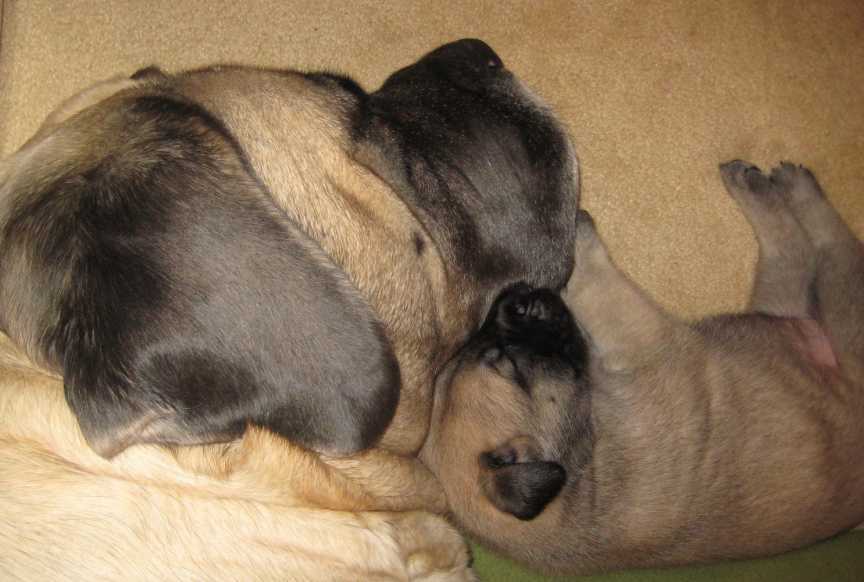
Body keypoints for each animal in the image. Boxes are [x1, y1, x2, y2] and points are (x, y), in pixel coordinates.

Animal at [422, 162, 864, 576]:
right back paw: (785, 186)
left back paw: (764, 182)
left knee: (793, 249)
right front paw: (579, 238)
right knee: (820, 244)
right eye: (506, 363)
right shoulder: (642, 335)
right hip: (840, 312)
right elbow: (601, 287)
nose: (513, 297)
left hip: (780, 300)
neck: (581, 475)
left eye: (478, 343)